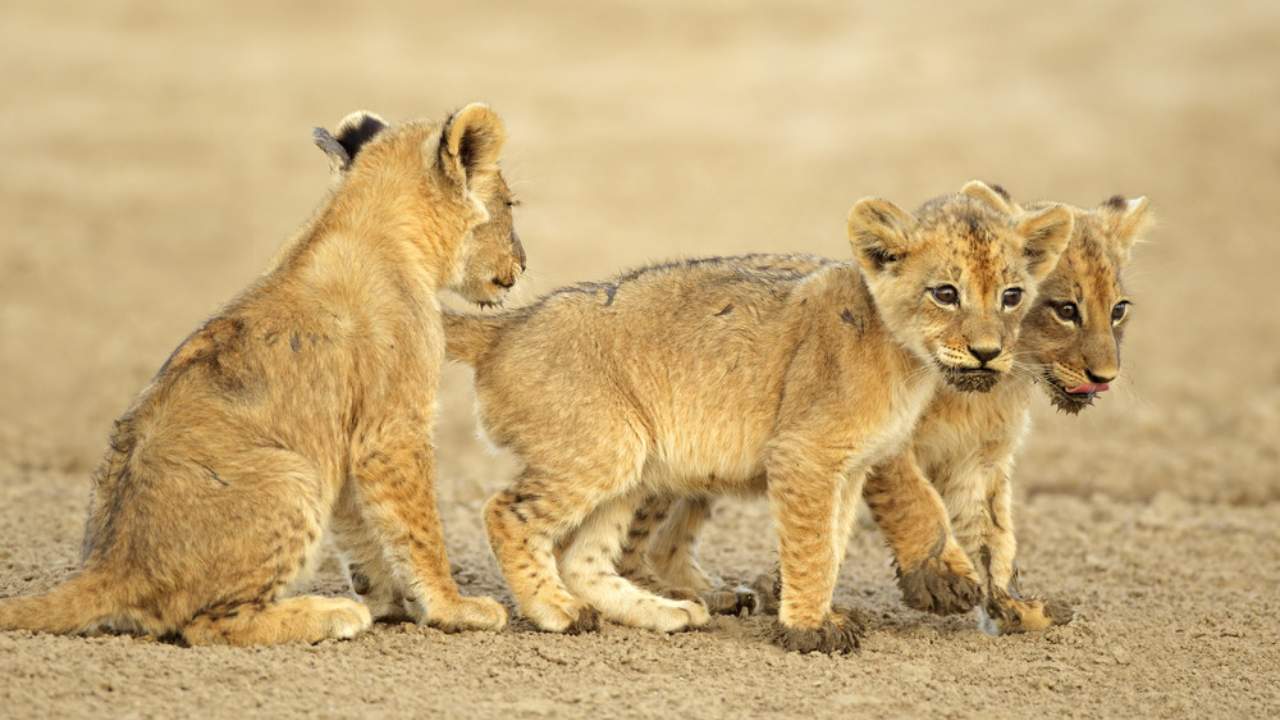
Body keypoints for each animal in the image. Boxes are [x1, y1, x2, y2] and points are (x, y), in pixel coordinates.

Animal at [0, 104, 522, 645]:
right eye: (510, 204)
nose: (522, 265)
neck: (364, 217)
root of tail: (109, 563)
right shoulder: (391, 429)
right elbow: (419, 527)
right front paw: (453, 607)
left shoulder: (344, 439)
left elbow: (360, 527)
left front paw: (388, 600)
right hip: (293, 475)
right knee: (206, 624)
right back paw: (329, 613)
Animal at [444, 191, 1072, 652]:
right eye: (945, 292)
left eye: (1012, 295)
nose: (989, 353)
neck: (907, 359)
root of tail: (508, 326)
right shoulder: (804, 453)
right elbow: (813, 545)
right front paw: (808, 630)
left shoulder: (851, 468)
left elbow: (832, 545)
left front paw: (820, 612)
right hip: (602, 448)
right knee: (505, 512)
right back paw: (555, 612)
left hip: (631, 461)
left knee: (583, 559)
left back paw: (670, 613)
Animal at [624, 182, 1152, 635]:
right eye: (1065, 309)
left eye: (1119, 310)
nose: (1104, 377)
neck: (992, 390)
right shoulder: (884, 442)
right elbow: (920, 503)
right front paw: (941, 579)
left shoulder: (981, 460)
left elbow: (995, 536)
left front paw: (1015, 608)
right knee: (632, 541)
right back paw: (670, 600)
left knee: (668, 541)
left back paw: (715, 593)